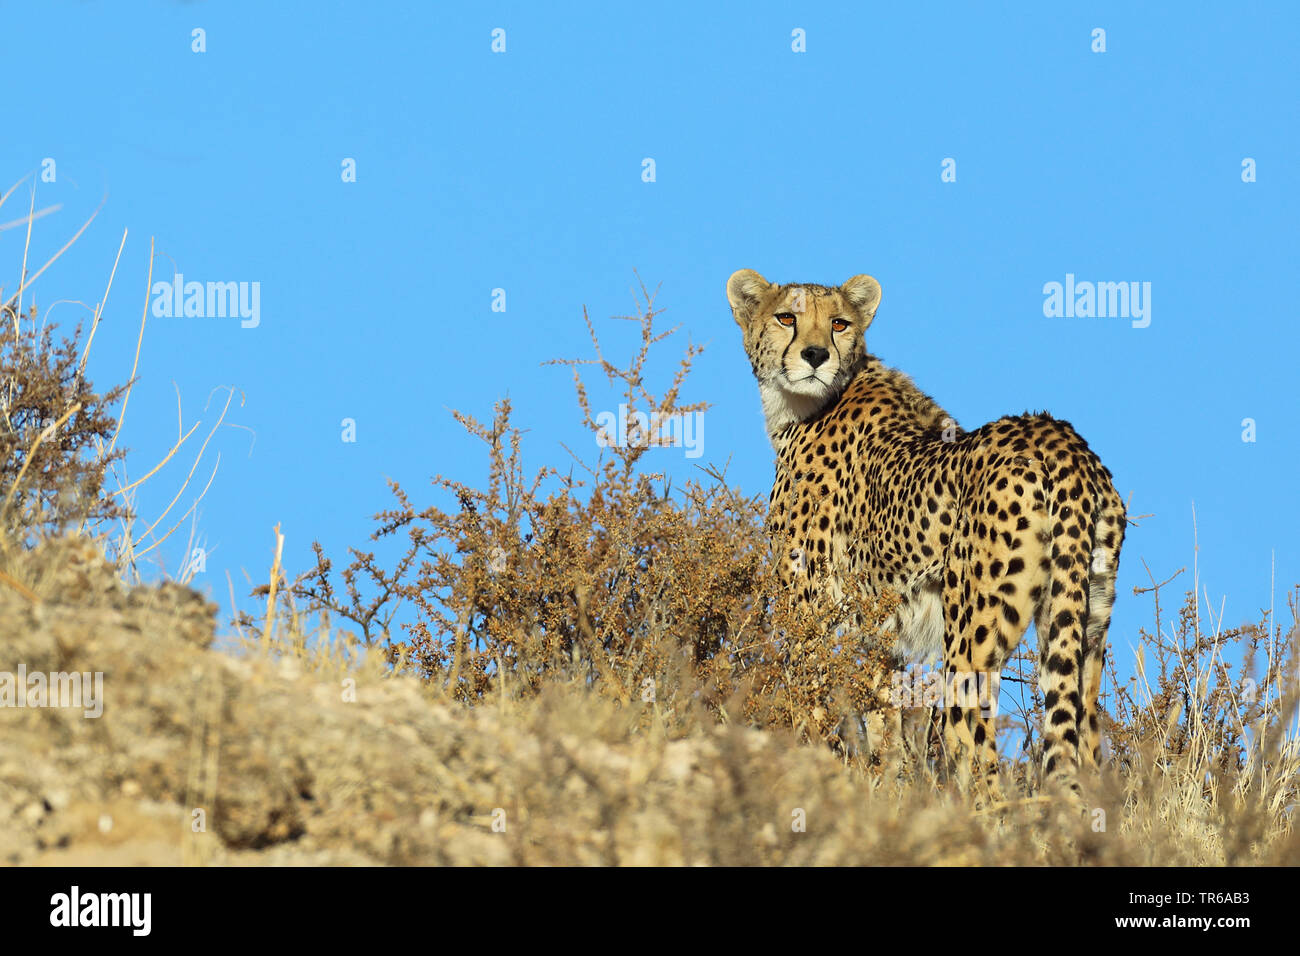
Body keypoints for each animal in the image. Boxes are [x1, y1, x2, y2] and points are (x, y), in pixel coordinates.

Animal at [733, 267, 1128, 790]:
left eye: (839, 323)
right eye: (785, 317)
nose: (816, 355)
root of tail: (1057, 436)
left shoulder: (809, 614)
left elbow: (811, 710)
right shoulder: (882, 637)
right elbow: (885, 728)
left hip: (969, 638)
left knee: (979, 761)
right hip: (1085, 626)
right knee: (1082, 742)